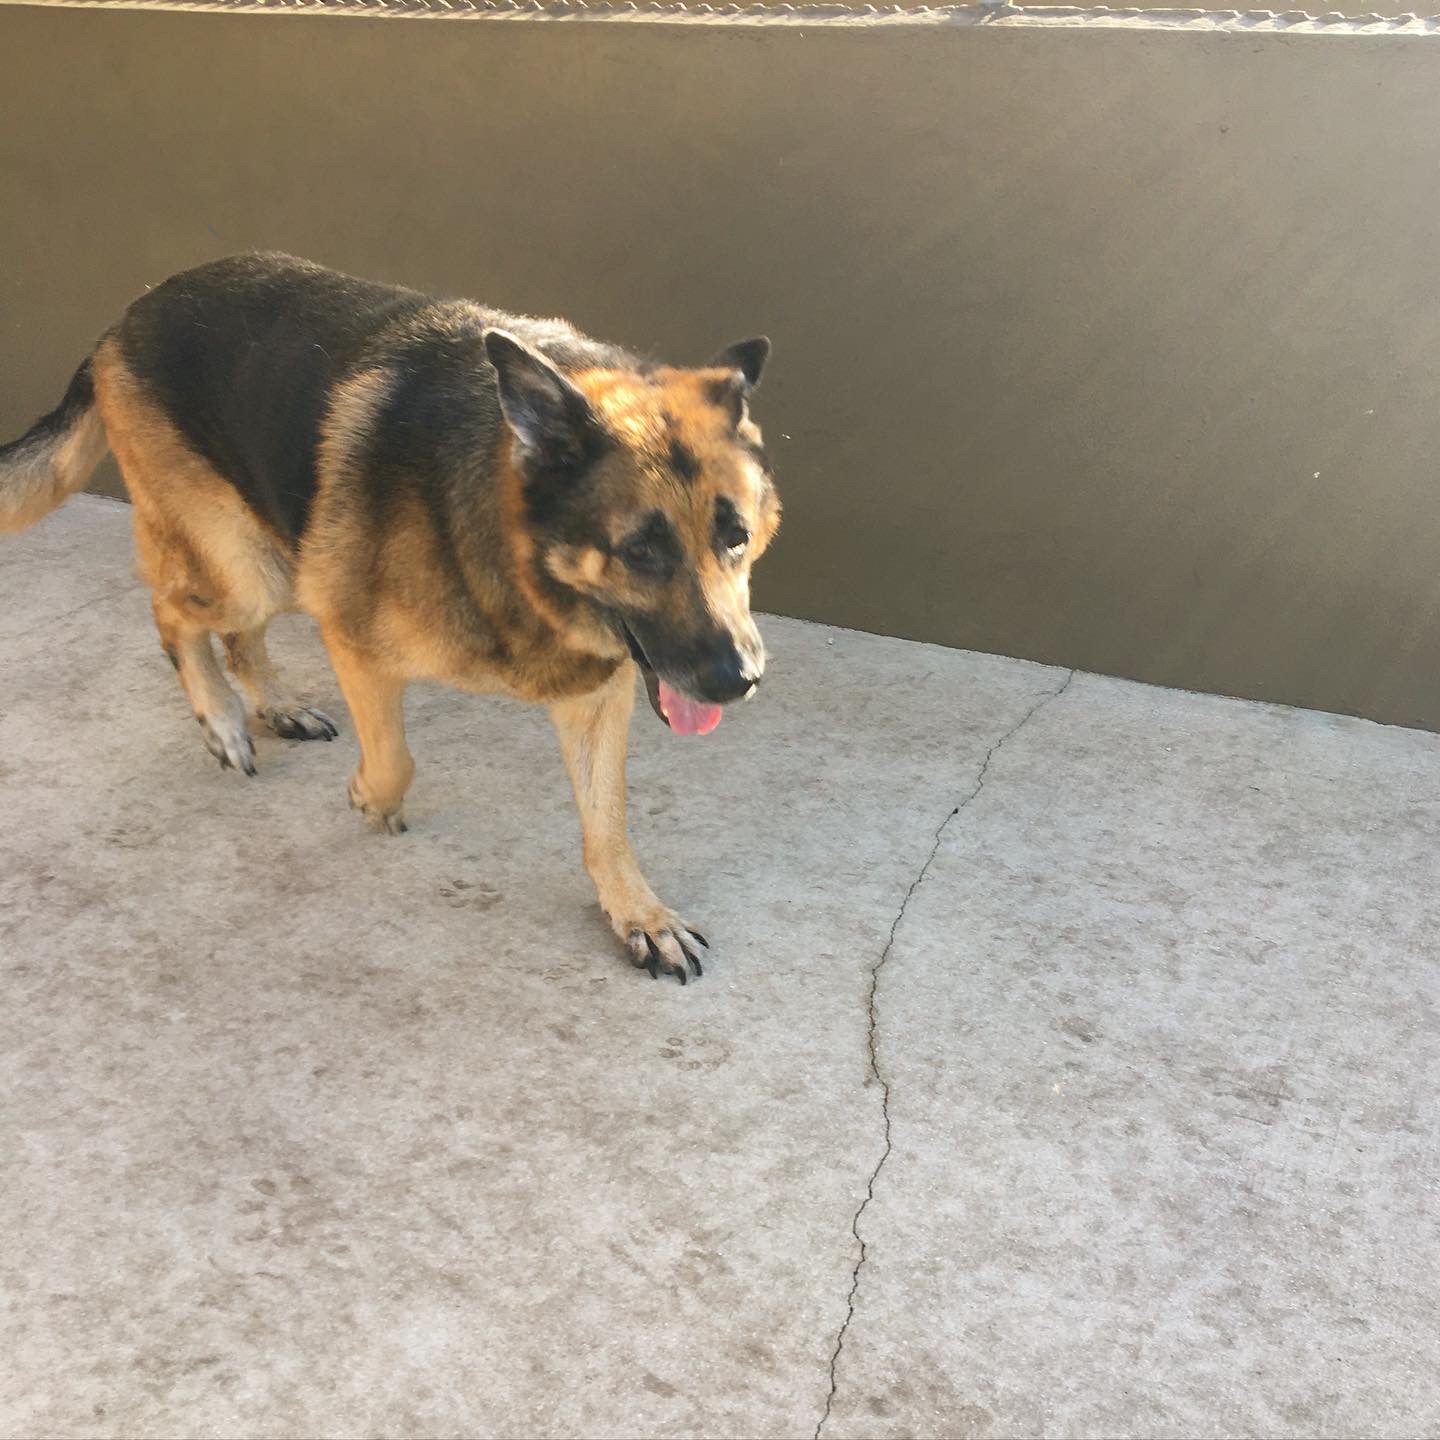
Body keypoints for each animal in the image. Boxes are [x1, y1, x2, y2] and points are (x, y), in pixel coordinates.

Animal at [0, 253, 779, 983]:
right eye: (641, 550)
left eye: (735, 537)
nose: (740, 680)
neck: (506, 545)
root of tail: (126, 317)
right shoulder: (354, 641)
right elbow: (396, 759)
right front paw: (371, 801)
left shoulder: (595, 694)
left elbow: (608, 823)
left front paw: (639, 913)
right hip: (253, 568)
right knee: (173, 611)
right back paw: (222, 720)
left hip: (278, 556)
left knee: (236, 637)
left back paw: (276, 706)